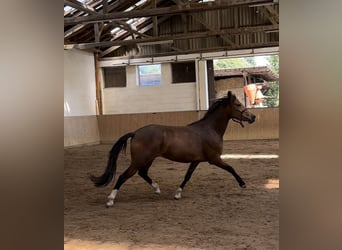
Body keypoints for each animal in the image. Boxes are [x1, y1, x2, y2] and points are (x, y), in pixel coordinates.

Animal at [89, 90, 255, 207]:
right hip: (139, 160)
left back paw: (157, 189)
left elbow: (187, 176)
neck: (210, 129)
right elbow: (231, 168)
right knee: (124, 176)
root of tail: (136, 133)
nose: (253, 117)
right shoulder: (214, 159)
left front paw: (177, 194)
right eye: (238, 105)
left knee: (143, 173)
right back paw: (110, 200)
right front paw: (242, 184)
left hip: (149, 159)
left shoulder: (196, 161)